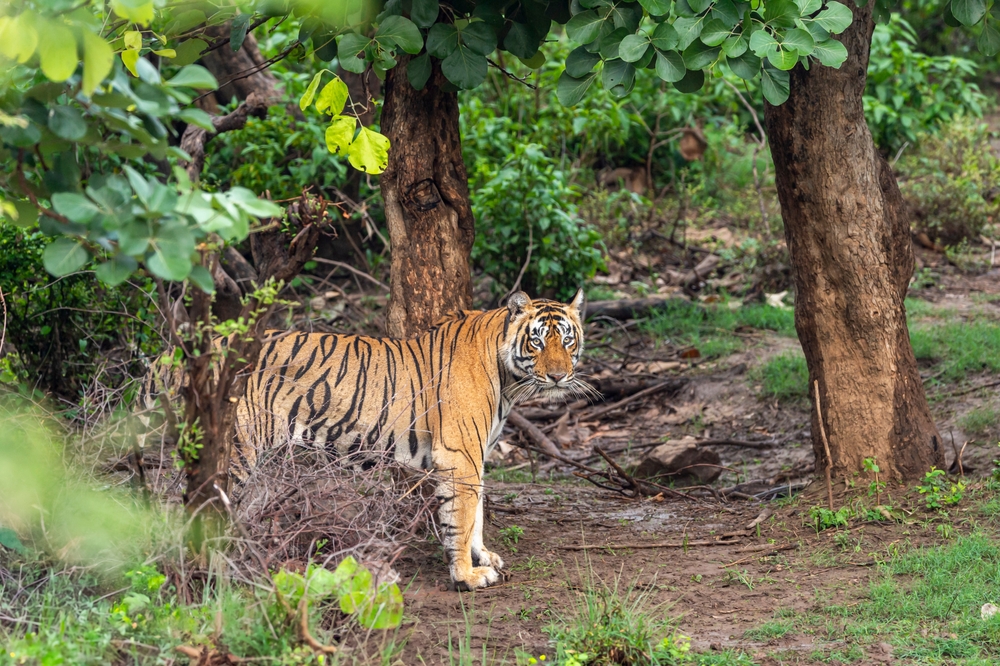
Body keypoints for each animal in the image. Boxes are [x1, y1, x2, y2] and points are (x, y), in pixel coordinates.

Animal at [141, 290, 592, 588]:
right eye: (538, 340)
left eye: (567, 339)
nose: (558, 376)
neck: (508, 380)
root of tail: (174, 355)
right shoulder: (459, 453)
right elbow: (462, 516)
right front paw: (466, 575)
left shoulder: (475, 454)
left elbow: (477, 510)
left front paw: (484, 557)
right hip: (232, 450)